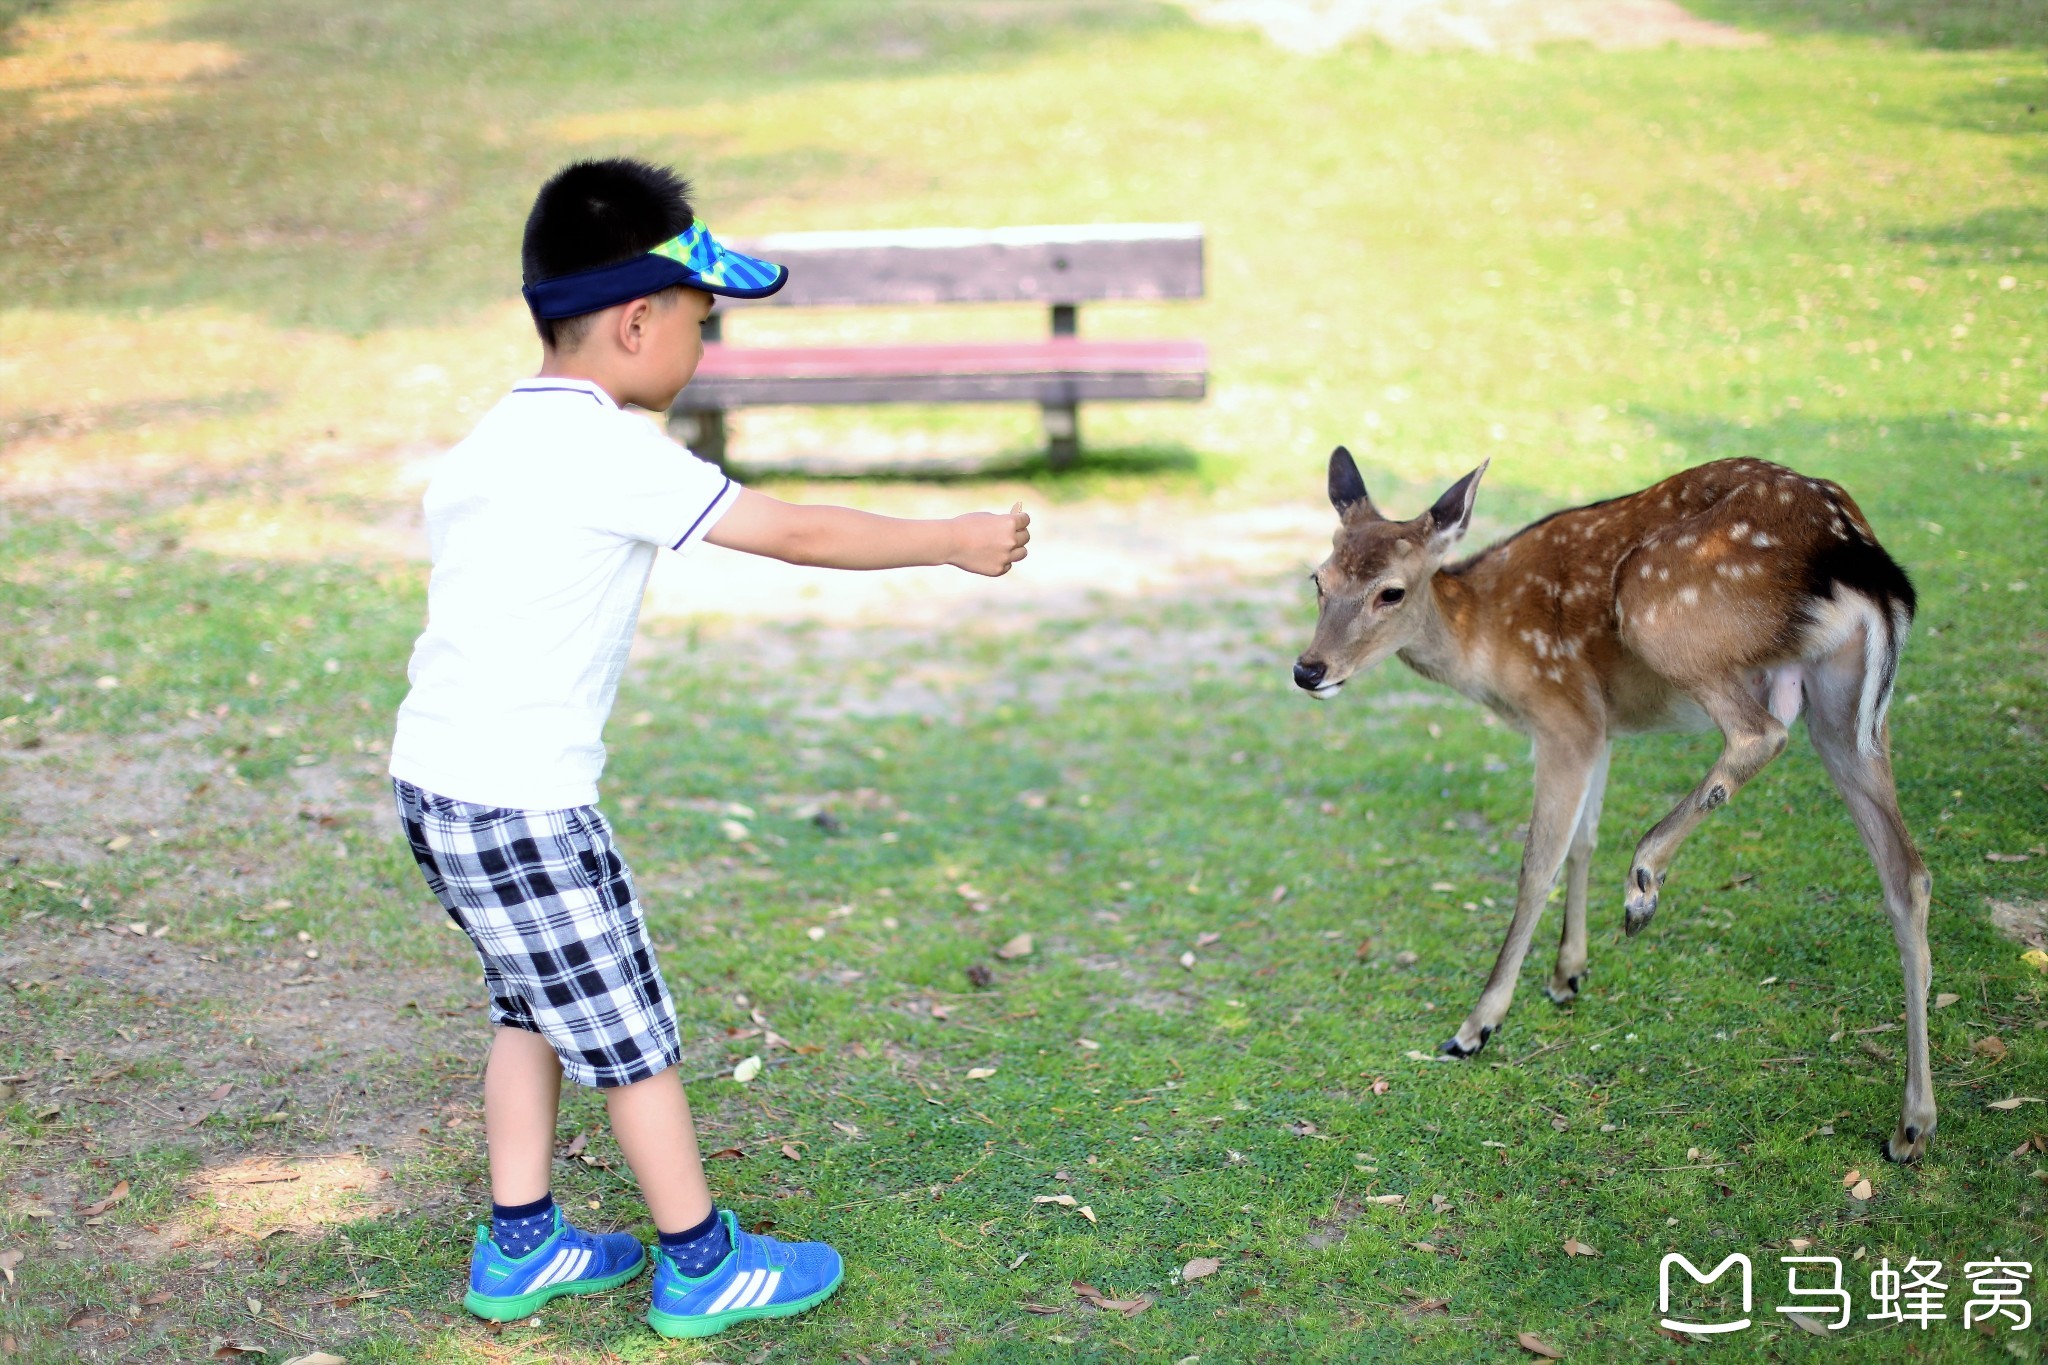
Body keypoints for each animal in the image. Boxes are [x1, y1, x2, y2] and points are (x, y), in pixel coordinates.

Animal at [1294, 454, 1933, 1162]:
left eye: (1392, 592)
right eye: (1318, 579)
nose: (1309, 670)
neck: (1485, 643)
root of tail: (1857, 555)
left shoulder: (1563, 715)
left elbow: (1536, 866)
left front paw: (1476, 1027)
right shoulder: (1600, 729)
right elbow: (1583, 841)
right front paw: (1567, 974)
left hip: (1660, 608)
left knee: (1762, 732)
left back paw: (1644, 882)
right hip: (1846, 705)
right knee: (1906, 873)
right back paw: (1911, 1126)